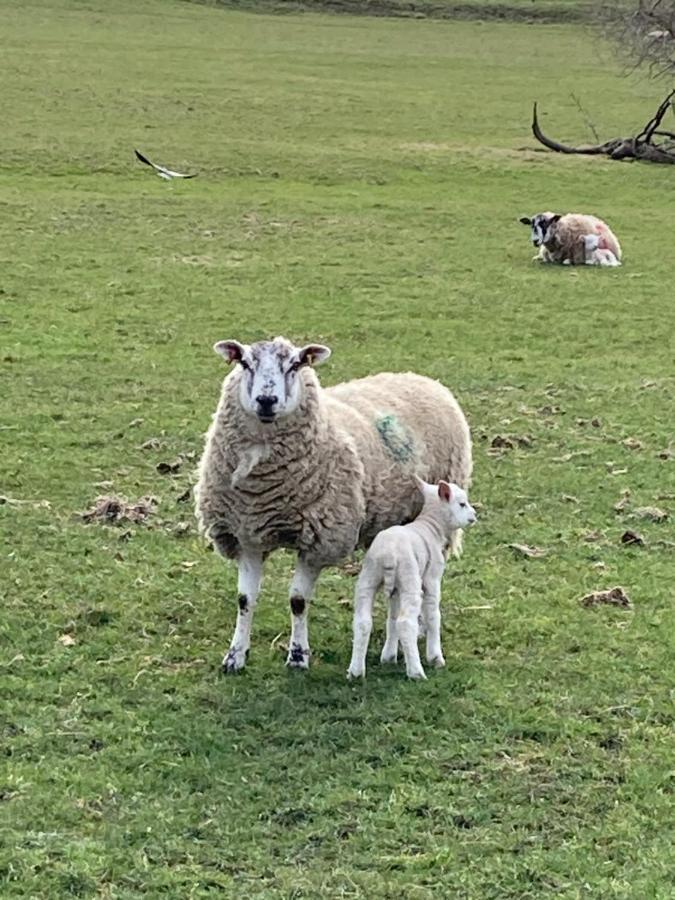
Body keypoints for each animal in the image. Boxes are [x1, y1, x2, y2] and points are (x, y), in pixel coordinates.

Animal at [193, 334, 472, 672]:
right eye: (245, 363)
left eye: (295, 364)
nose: (266, 400)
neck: (261, 489)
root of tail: (423, 378)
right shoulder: (246, 534)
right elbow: (245, 600)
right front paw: (235, 656)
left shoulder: (319, 540)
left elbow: (298, 601)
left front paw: (298, 656)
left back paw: (419, 628)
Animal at [346, 478, 478, 684]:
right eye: (462, 504)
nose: (474, 515)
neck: (431, 526)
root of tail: (389, 555)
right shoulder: (432, 578)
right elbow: (433, 616)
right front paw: (435, 657)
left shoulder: (396, 590)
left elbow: (392, 618)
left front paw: (388, 656)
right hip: (409, 578)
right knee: (406, 623)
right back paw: (416, 672)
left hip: (368, 577)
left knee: (363, 622)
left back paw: (356, 671)